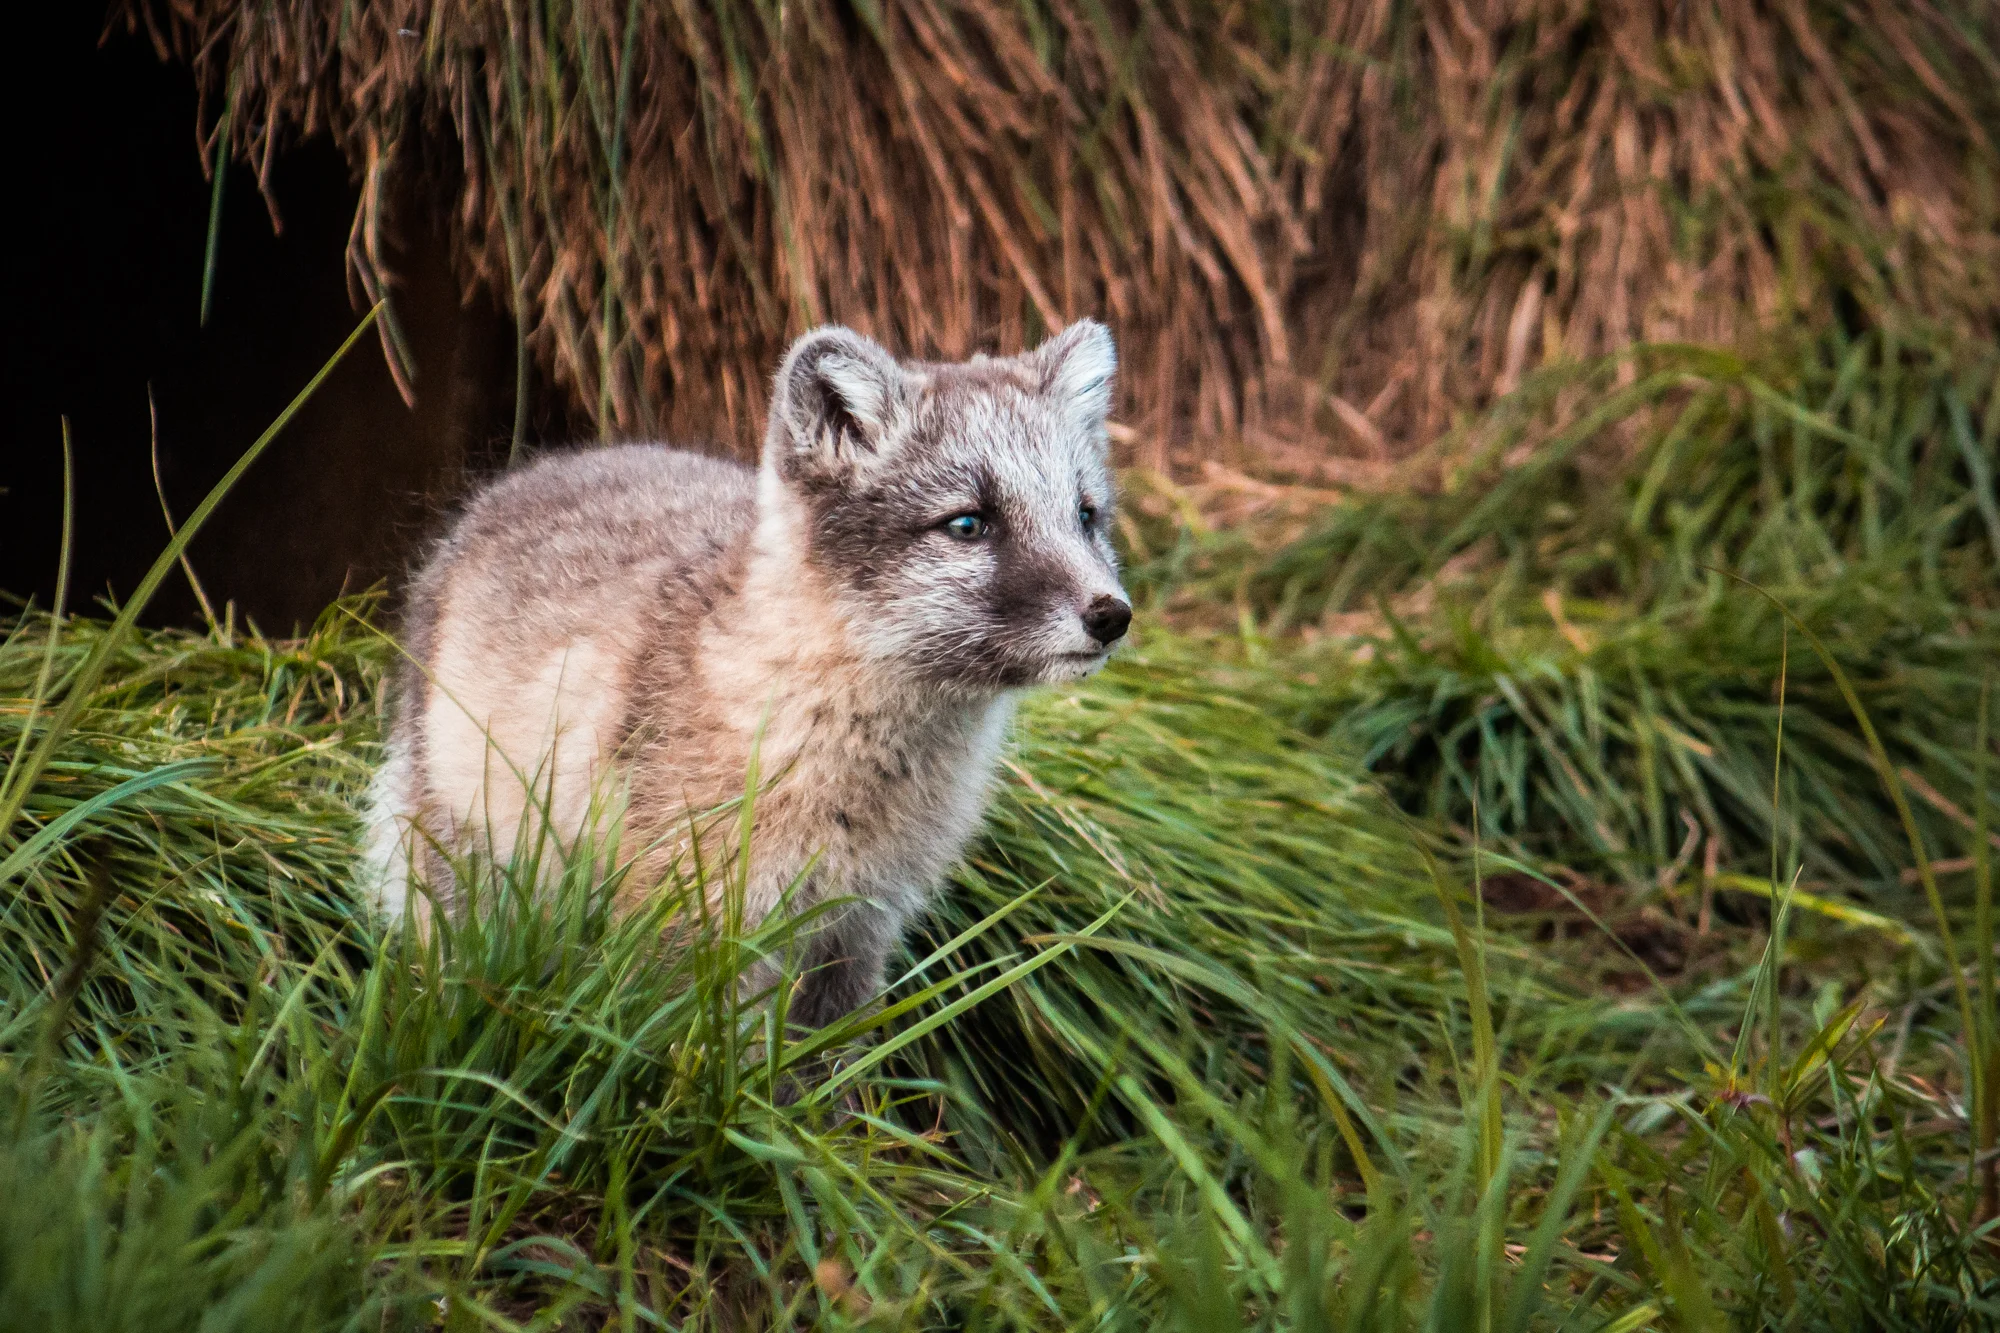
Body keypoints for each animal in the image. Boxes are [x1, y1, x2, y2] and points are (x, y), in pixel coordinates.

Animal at [362, 320, 1131, 1027]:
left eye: (1085, 516)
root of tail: (520, 481)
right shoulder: (701, 924)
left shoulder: (858, 928)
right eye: (968, 524)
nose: (1112, 615)